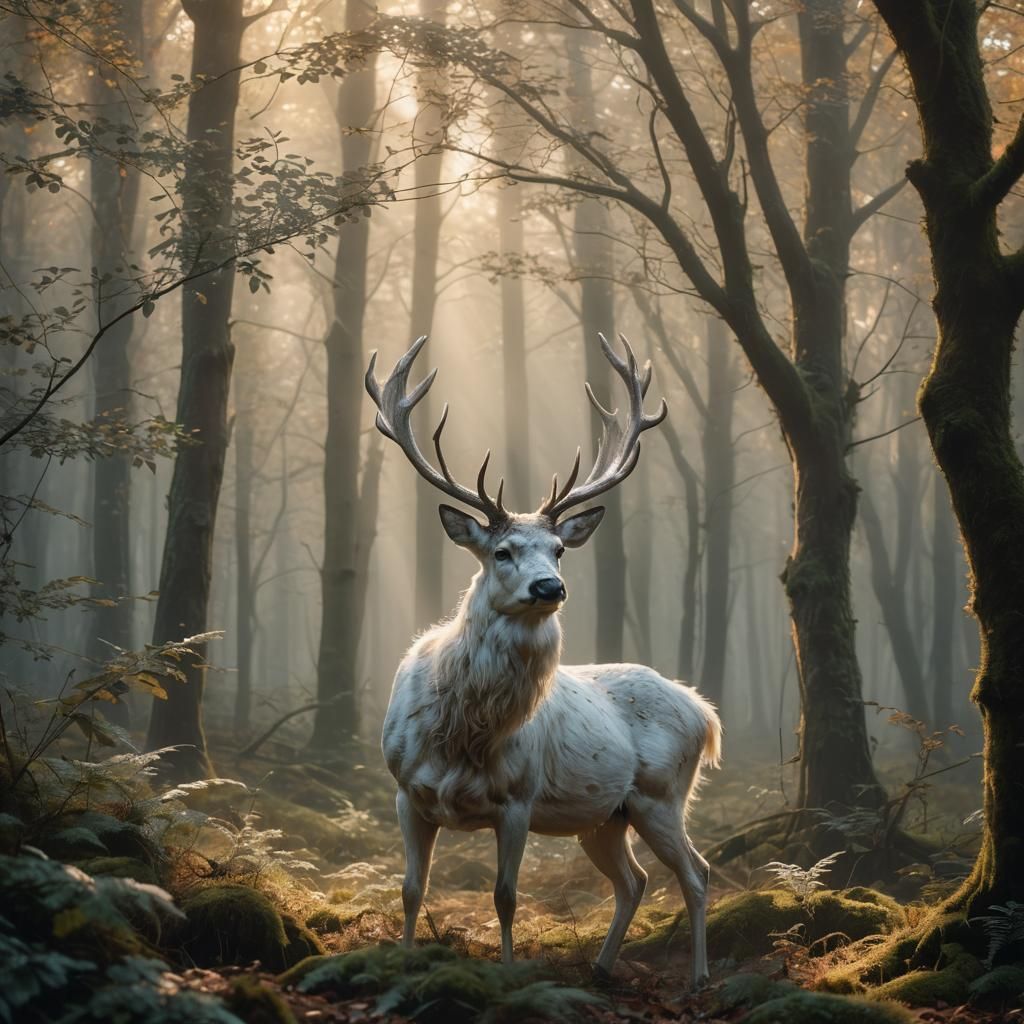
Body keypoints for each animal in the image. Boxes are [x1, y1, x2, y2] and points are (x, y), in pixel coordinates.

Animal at [365, 332, 722, 985]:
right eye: (501, 550)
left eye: (558, 549)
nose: (549, 587)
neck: (462, 733)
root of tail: (705, 713)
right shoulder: (405, 790)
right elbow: (410, 888)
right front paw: (403, 961)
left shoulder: (519, 799)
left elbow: (506, 897)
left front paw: (508, 973)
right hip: (607, 816)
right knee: (634, 881)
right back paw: (602, 966)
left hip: (662, 793)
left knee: (696, 872)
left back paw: (698, 975)